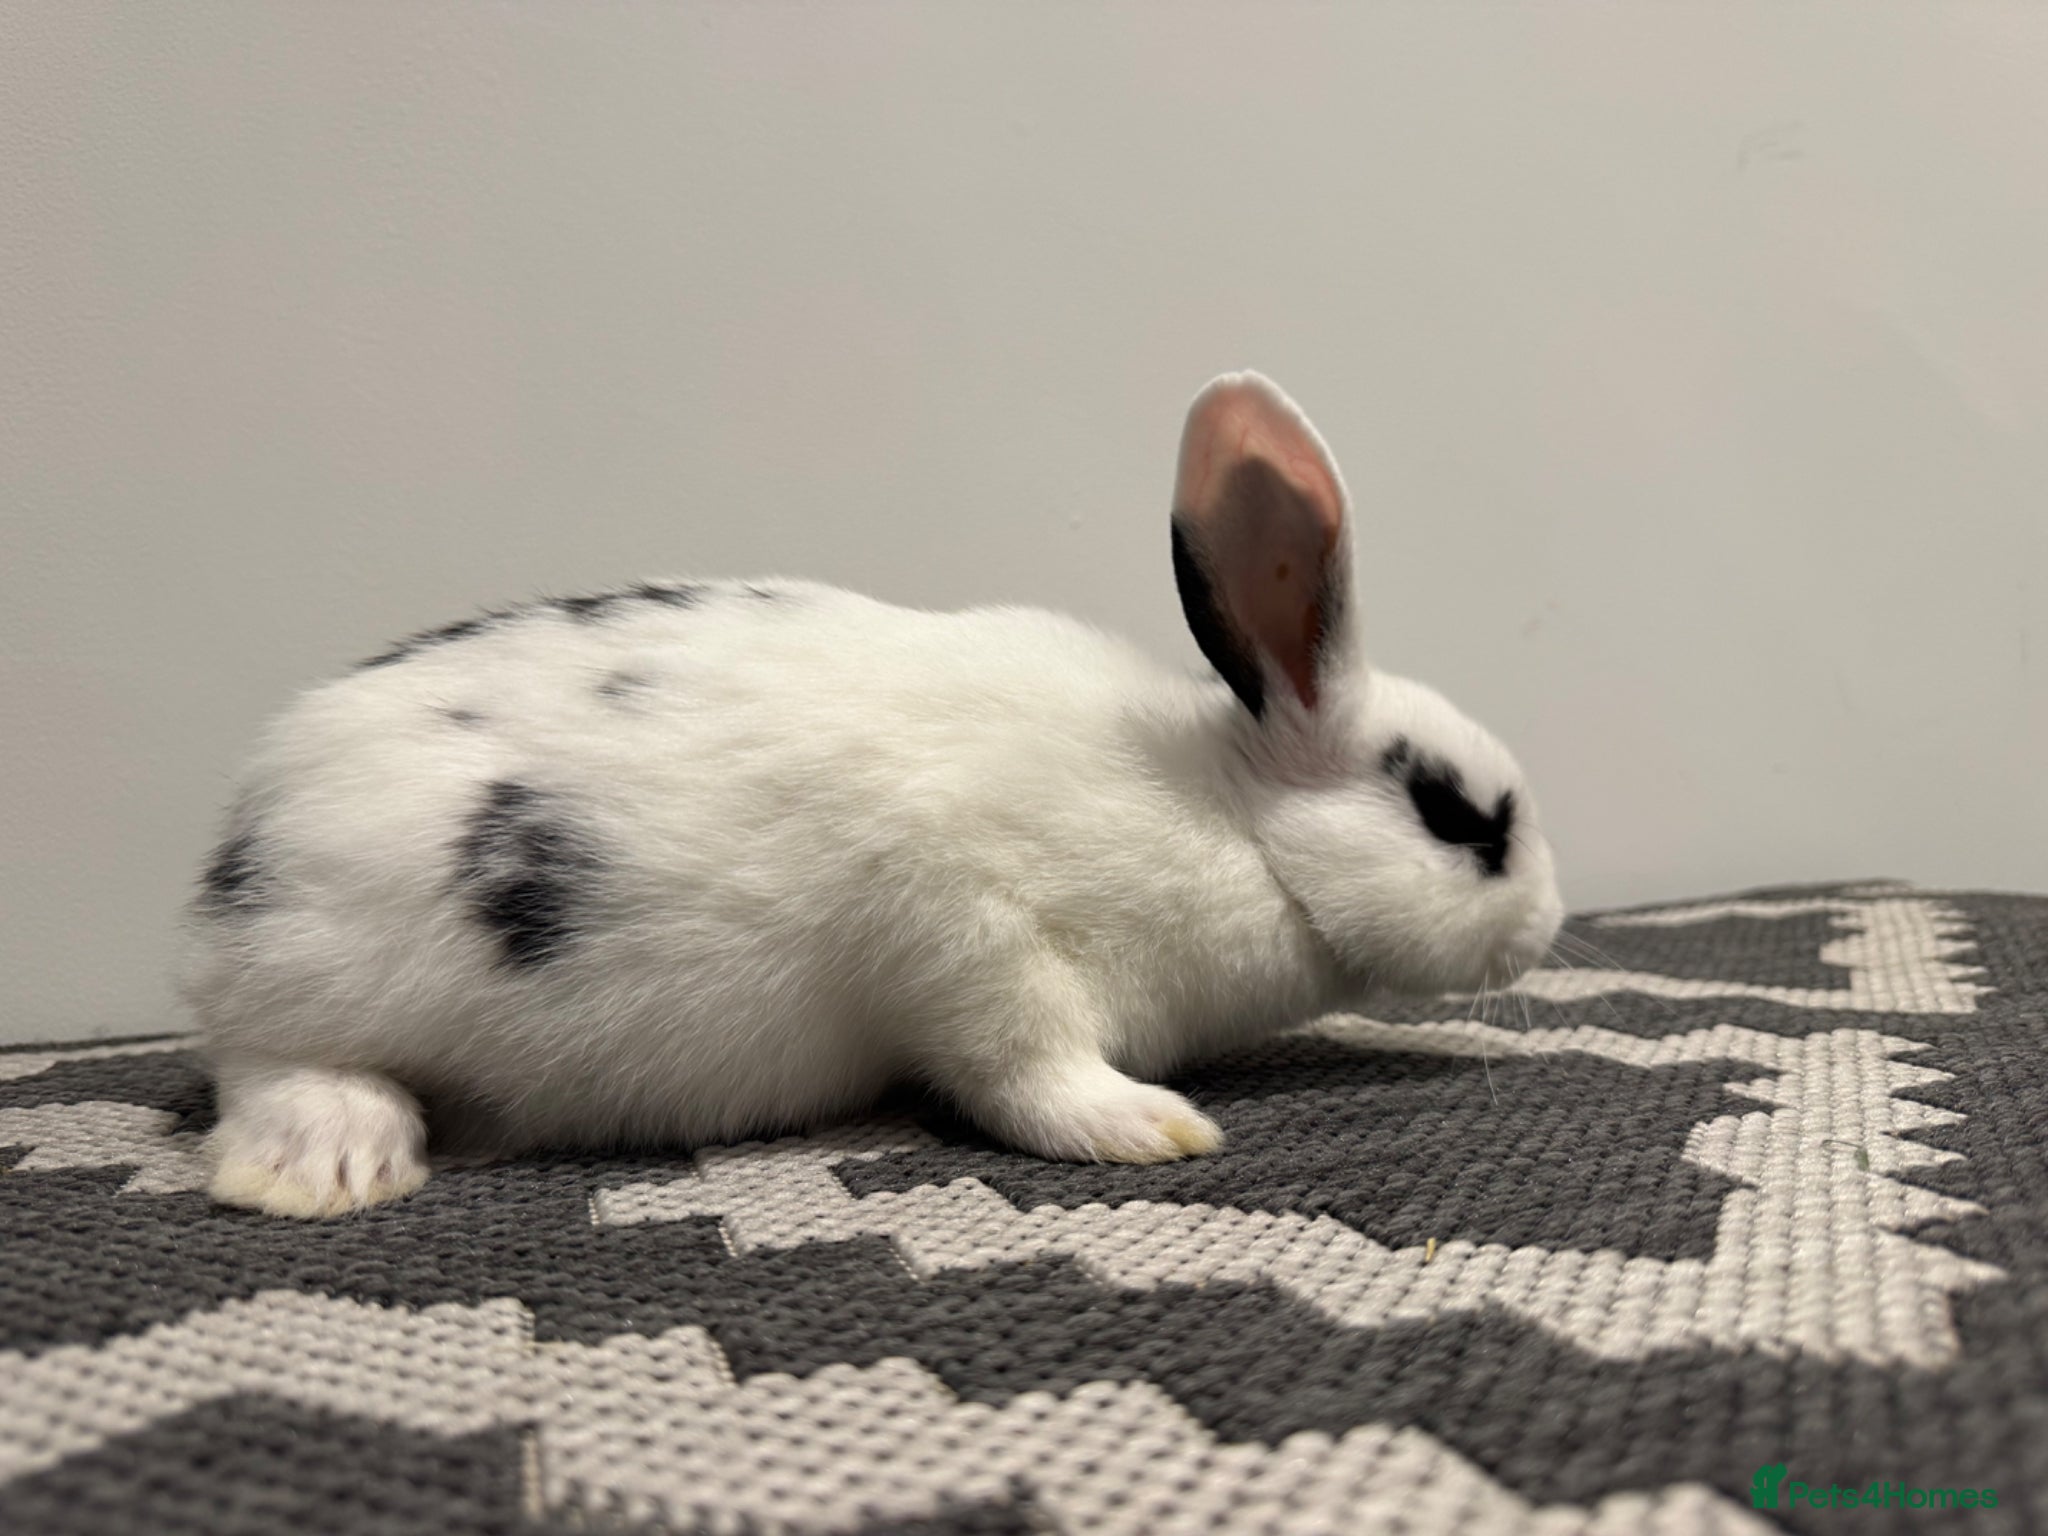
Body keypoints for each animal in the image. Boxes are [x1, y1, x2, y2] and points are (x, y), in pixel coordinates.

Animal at [182, 371, 1565, 1218]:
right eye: (1456, 815)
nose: (1547, 927)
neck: (1233, 817)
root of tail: (235, 854)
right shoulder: (961, 917)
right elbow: (1018, 1060)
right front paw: (1140, 1124)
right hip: (323, 982)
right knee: (273, 1071)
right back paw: (328, 1164)